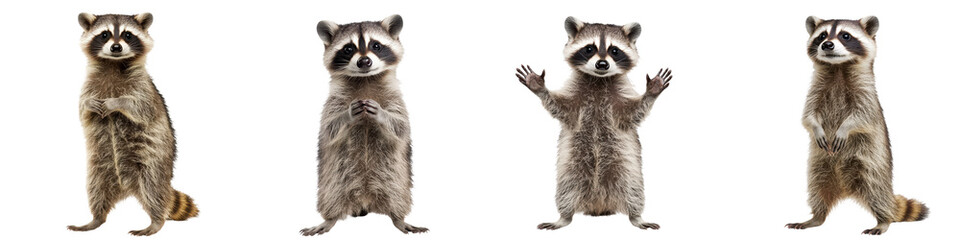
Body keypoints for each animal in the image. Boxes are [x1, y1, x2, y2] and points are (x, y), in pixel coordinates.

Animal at [68, 12, 199, 235]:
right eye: (105, 34)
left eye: (128, 35)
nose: (116, 47)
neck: (113, 64)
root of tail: (126, 187)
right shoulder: (87, 86)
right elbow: (82, 111)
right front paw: (89, 104)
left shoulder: (144, 88)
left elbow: (140, 107)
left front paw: (117, 103)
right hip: (98, 169)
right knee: (96, 190)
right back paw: (96, 218)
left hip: (152, 164)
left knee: (154, 191)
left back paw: (156, 222)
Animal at [300, 15, 428, 236]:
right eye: (348, 49)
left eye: (375, 45)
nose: (364, 61)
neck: (365, 79)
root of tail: (365, 201)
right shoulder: (332, 102)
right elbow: (329, 128)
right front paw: (347, 115)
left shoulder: (396, 99)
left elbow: (401, 127)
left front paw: (383, 115)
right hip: (332, 183)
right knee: (331, 197)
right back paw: (329, 219)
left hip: (397, 178)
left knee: (397, 196)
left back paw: (399, 218)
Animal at [512, 16, 672, 231]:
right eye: (589, 48)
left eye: (614, 50)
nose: (602, 64)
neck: (599, 80)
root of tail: (598, 205)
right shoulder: (577, 99)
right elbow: (562, 109)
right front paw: (540, 88)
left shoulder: (618, 102)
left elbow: (632, 114)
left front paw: (651, 92)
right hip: (571, 165)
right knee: (566, 190)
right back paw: (564, 216)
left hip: (626, 166)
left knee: (633, 190)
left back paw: (636, 216)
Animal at [788, 15, 928, 235]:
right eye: (822, 36)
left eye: (845, 36)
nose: (827, 45)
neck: (838, 68)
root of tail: (844, 188)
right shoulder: (814, 91)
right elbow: (807, 115)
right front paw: (816, 128)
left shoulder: (867, 94)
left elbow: (863, 116)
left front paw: (845, 128)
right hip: (819, 164)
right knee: (817, 187)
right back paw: (816, 217)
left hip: (872, 162)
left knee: (876, 189)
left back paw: (883, 219)